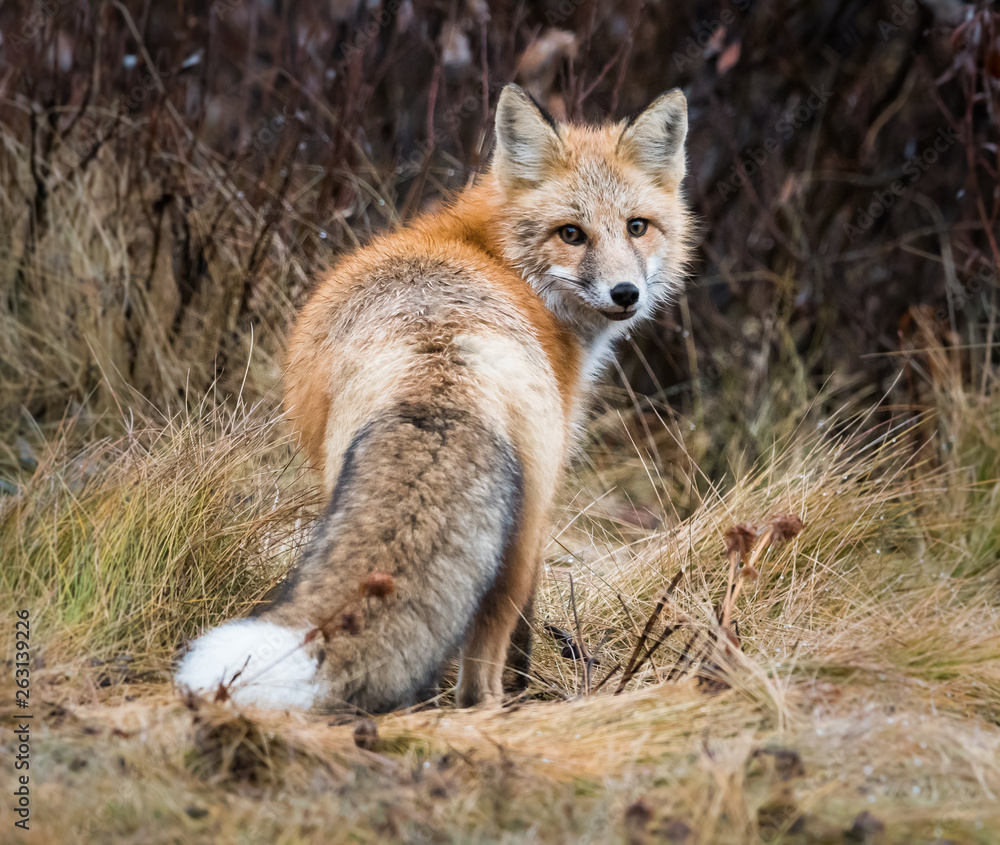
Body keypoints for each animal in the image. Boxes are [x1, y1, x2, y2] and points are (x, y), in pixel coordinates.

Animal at [175, 83, 692, 713]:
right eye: (571, 233)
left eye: (638, 227)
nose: (626, 294)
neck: (500, 260)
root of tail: (440, 358)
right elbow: (526, 629)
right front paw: (527, 687)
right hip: (518, 540)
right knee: (482, 672)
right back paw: (488, 710)